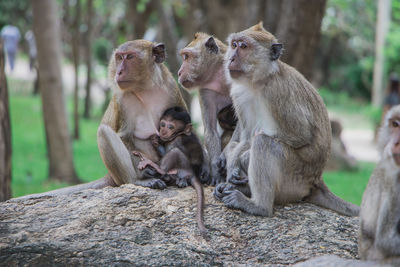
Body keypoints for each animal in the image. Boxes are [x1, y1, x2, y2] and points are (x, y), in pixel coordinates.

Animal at [177, 31, 239, 186]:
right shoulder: (205, 91)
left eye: (187, 57)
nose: (179, 72)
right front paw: (215, 172)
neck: (221, 76)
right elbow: (210, 130)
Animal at [214, 22, 360, 218]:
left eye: (244, 47)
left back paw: (259, 206)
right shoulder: (239, 94)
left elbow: (301, 135)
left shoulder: (276, 93)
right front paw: (233, 160)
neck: (259, 82)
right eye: (234, 45)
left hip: (294, 179)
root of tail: (316, 181)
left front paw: (242, 157)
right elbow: (245, 136)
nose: (231, 59)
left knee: (264, 142)